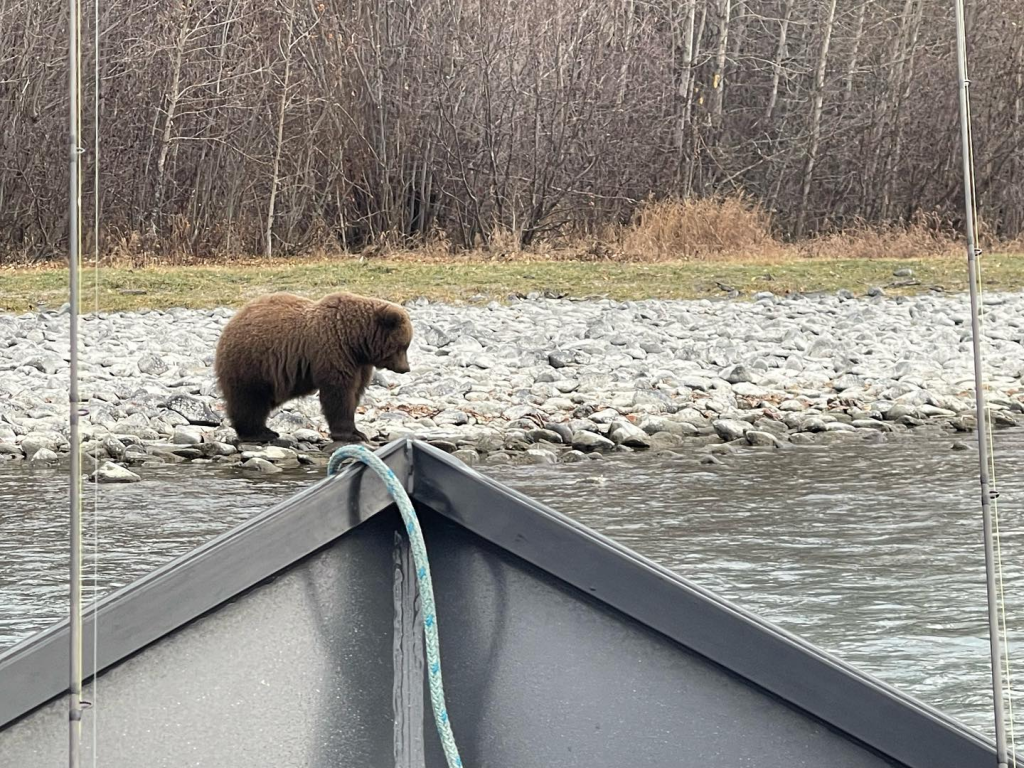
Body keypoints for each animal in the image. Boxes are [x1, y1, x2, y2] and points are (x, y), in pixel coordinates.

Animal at [214, 290, 413, 444]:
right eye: (403, 346)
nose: (406, 368)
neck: (356, 340)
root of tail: (231, 323)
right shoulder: (334, 351)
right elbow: (339, 393)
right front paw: (350, 434)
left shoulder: (360, 364)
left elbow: (354, 393)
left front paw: (358, 432)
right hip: (253, 363)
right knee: (250, 401)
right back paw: (259, 433)